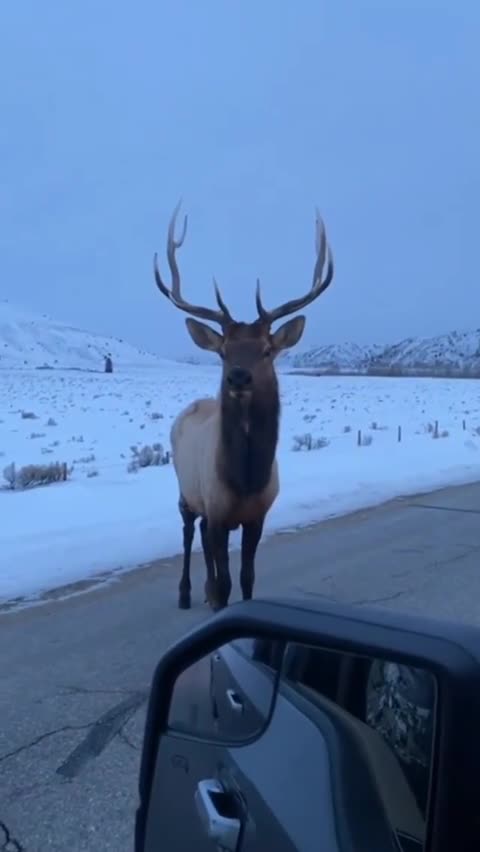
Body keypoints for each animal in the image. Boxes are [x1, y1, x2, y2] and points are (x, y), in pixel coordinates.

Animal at [153, 201, 334, 611]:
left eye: (267, 350)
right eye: (223, 351)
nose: (238, 377)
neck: (245, 479)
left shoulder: (257, 516)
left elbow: (247, 578)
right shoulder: (218, 508)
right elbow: (225, 583)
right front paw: (215, 599)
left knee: (201, 535)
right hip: (185, 489)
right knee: (188, 532)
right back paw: (186, 593)